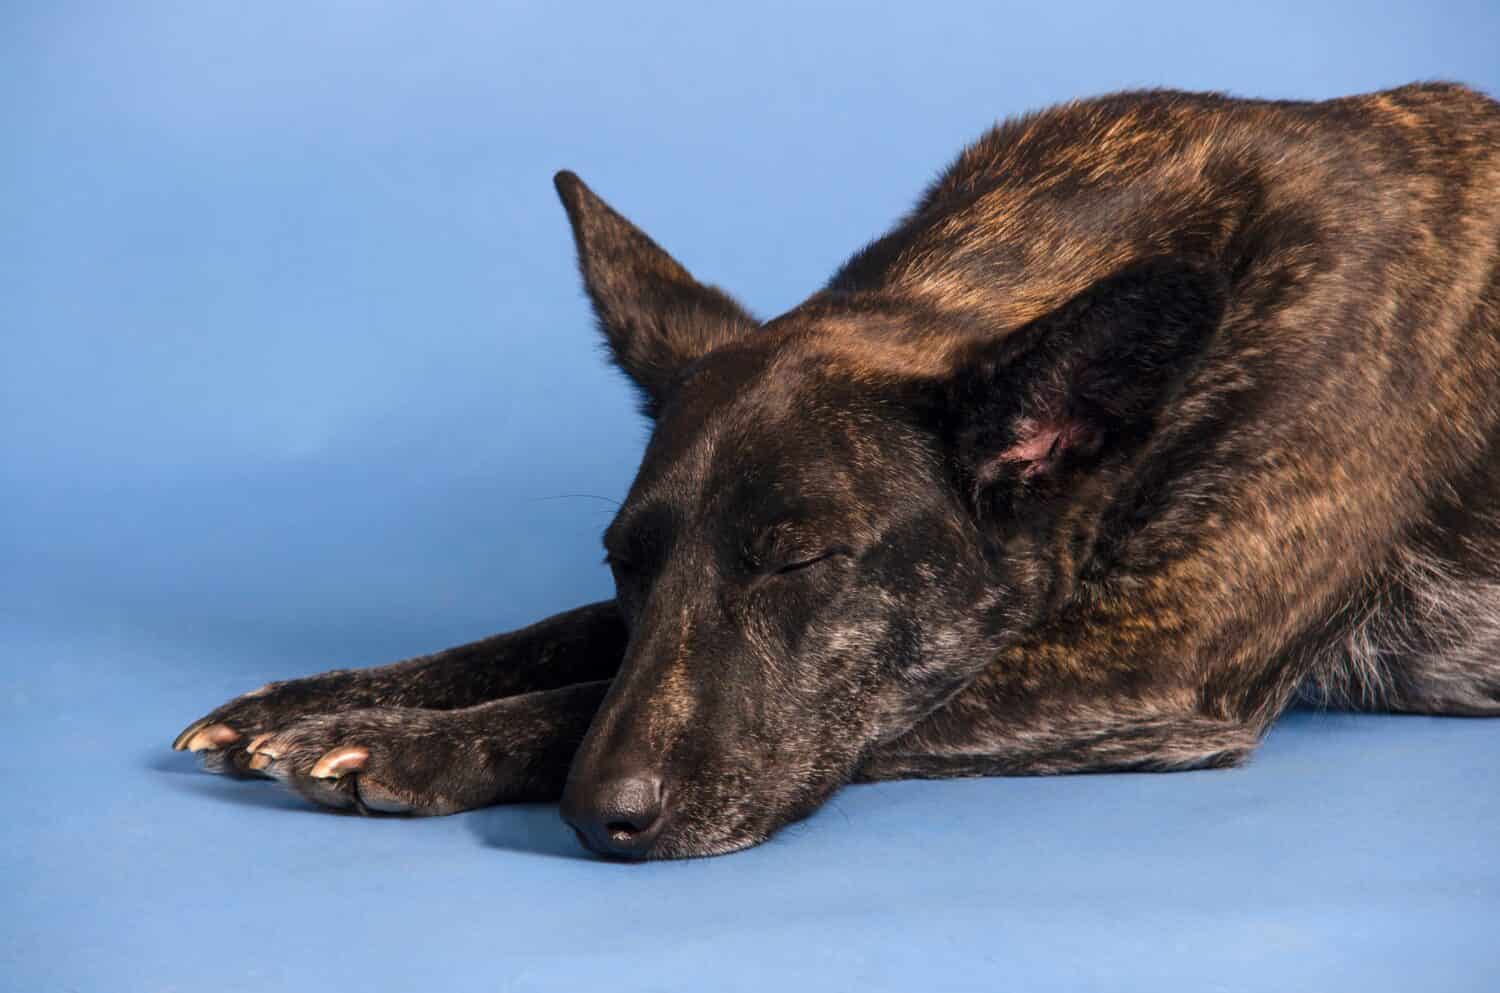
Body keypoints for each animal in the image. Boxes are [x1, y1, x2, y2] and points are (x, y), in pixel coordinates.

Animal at [170, 85, 1500, 858]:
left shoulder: (1141, 665)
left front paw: (402, 744)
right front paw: (311, 701)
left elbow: (588, 693)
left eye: (801, 561)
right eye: (622, 562)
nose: (600, 821)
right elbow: (552, 637)